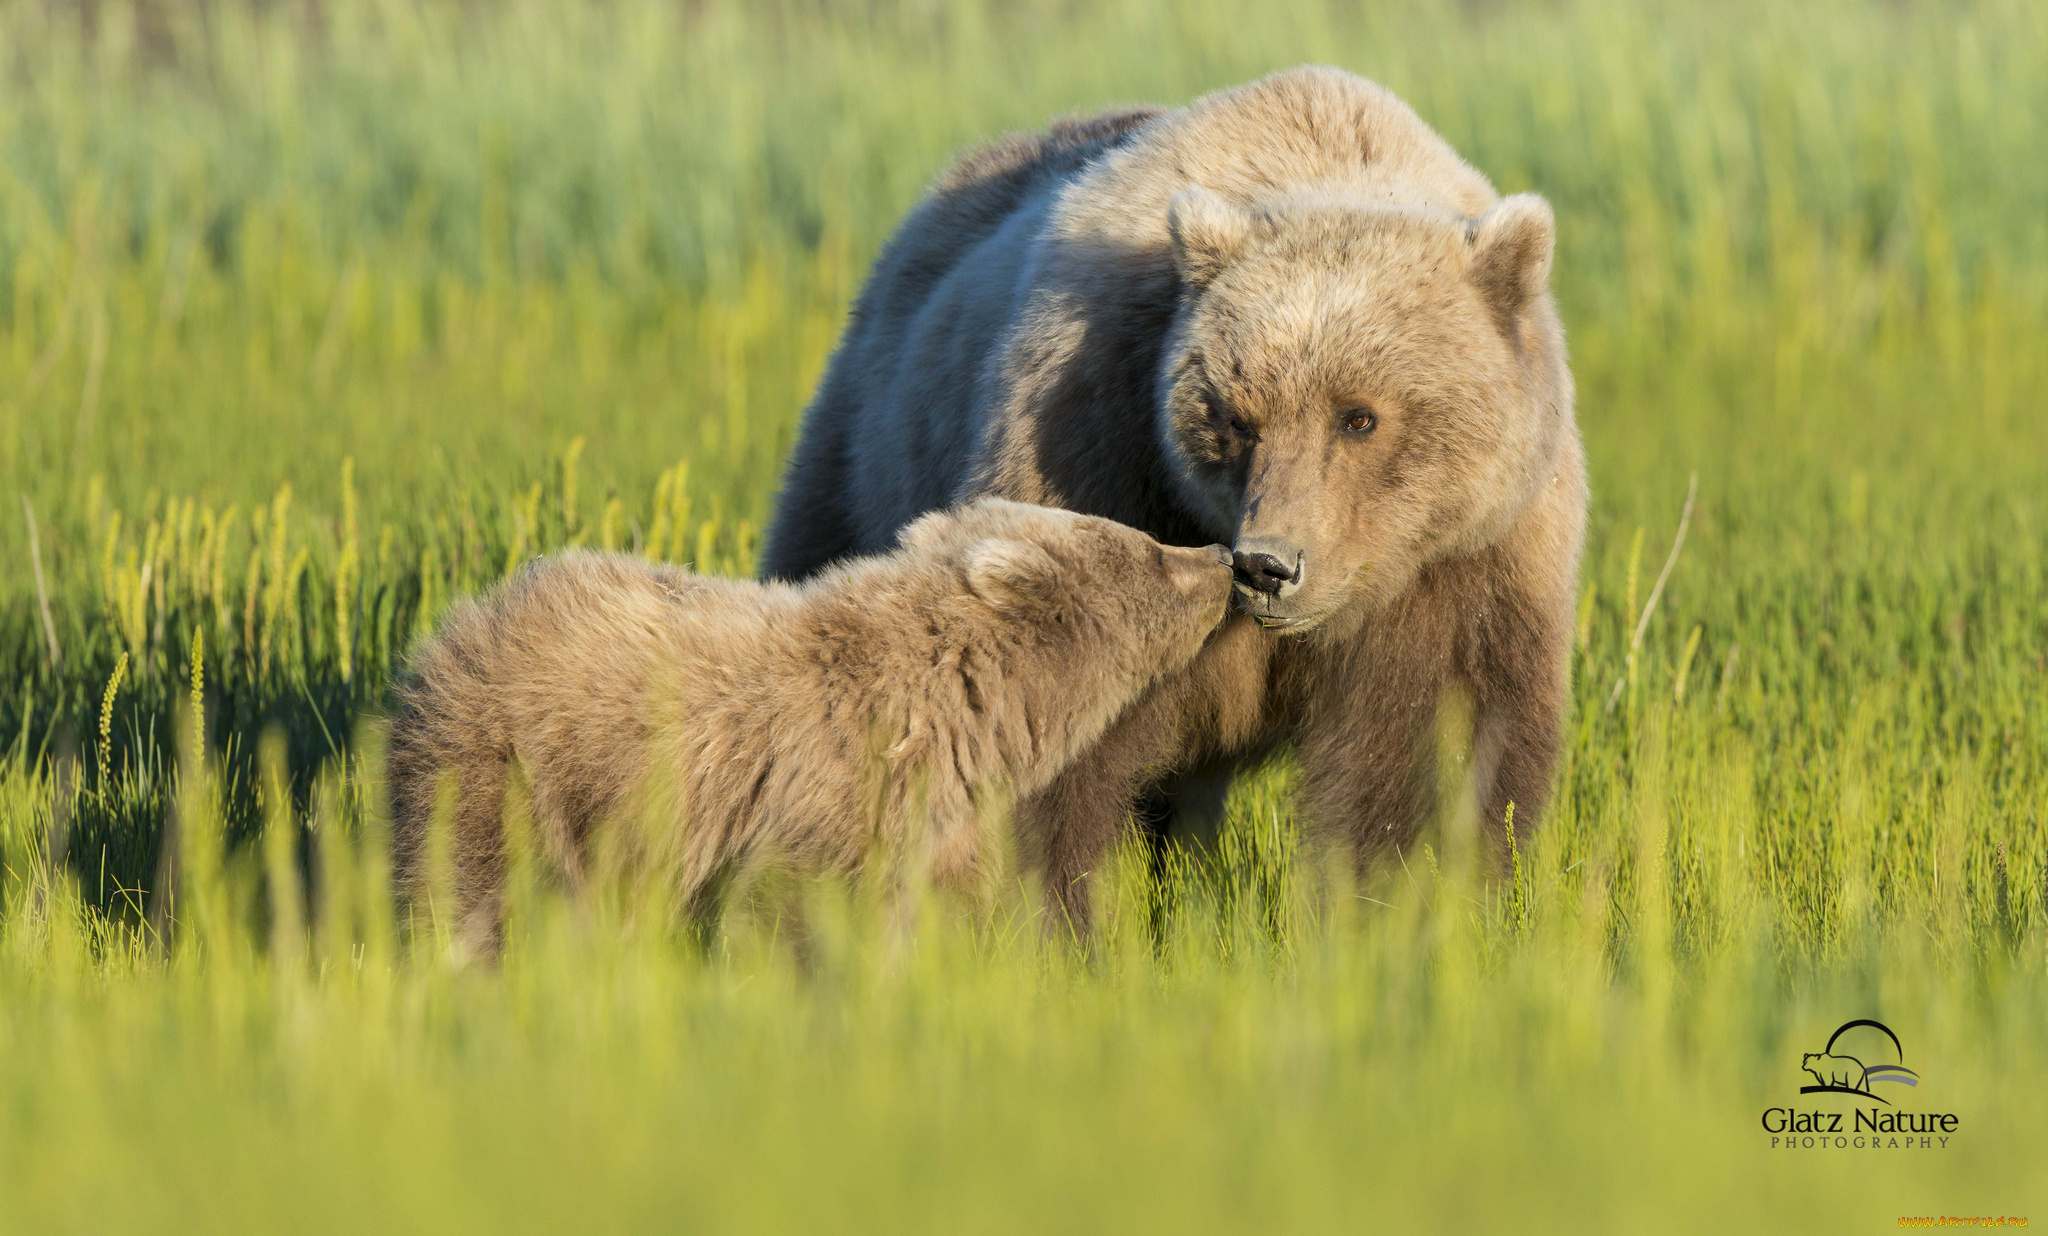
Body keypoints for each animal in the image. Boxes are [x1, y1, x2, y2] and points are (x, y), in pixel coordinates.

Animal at [391, 497, 1236, 949]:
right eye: (1148, 550)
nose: (1224, 558)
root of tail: (457, 624)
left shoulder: (940, 824)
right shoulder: (824, 790)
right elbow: (789, 907)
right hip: (515, 773)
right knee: (470, 889)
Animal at [765, 60, 1581, 924]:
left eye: (1359, 416)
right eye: (1235, 416)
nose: (1268, 566)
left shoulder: (1468, 563)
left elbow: (1429, 755)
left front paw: (1402, 908)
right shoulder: (1103, 452)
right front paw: (1053, 919)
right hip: (865, 450)